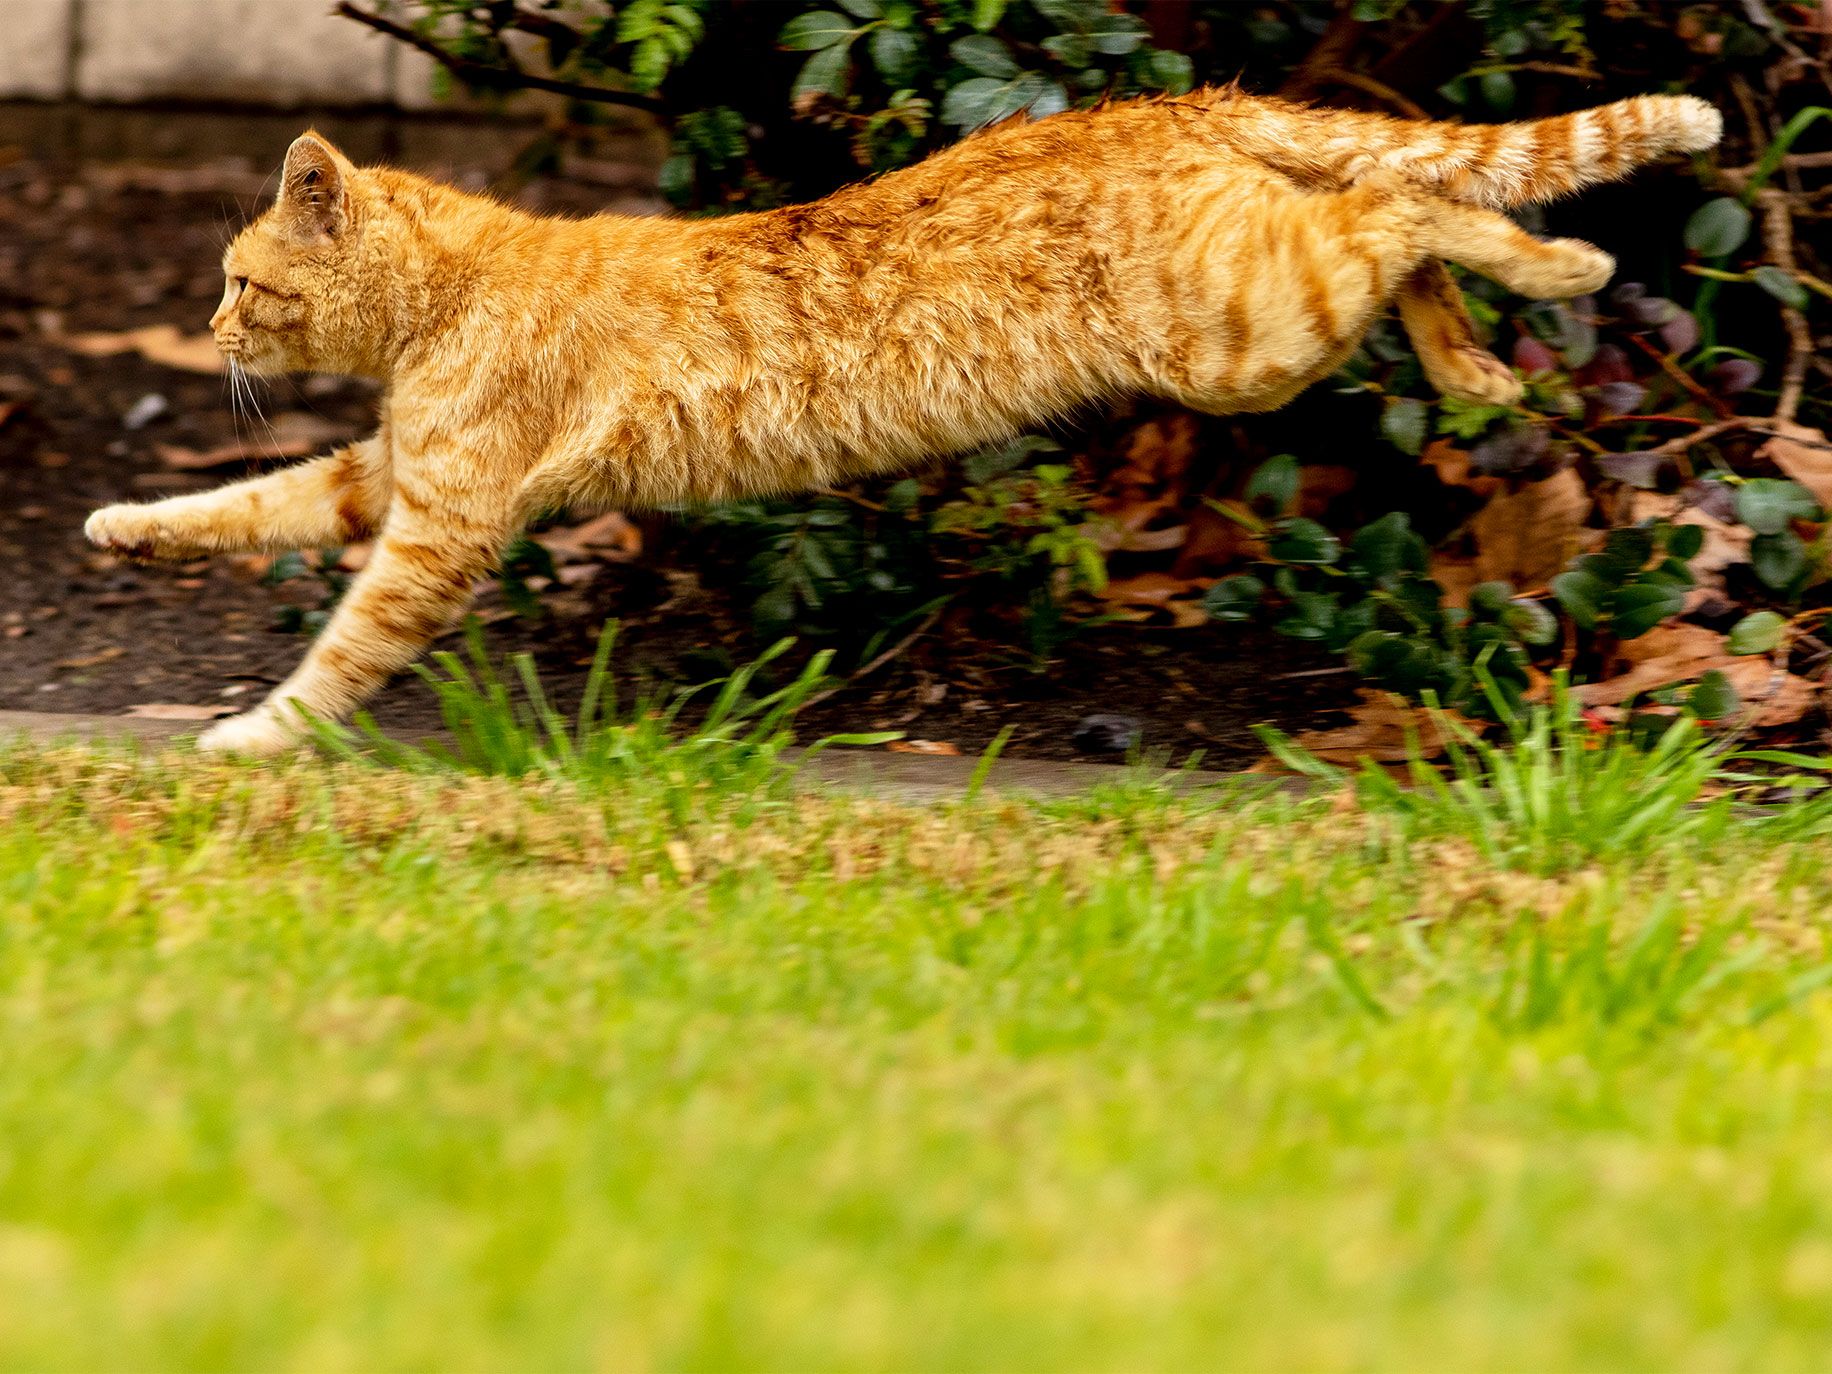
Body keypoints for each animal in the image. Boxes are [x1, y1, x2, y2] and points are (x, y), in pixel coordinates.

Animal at [82, 88, 1714, 754]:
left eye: (240, 280)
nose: (211, 331)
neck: (454, 289)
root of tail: (1172, 98)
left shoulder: (438, 528)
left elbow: (339, 647)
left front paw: (255, 736)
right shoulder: (386, 479)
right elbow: (249, 506)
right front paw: (123, 525)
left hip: (1244, 331)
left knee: (1404, 202)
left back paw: (1562, 272)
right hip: (1267, 312)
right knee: (1396, 209)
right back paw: (1480, 373)